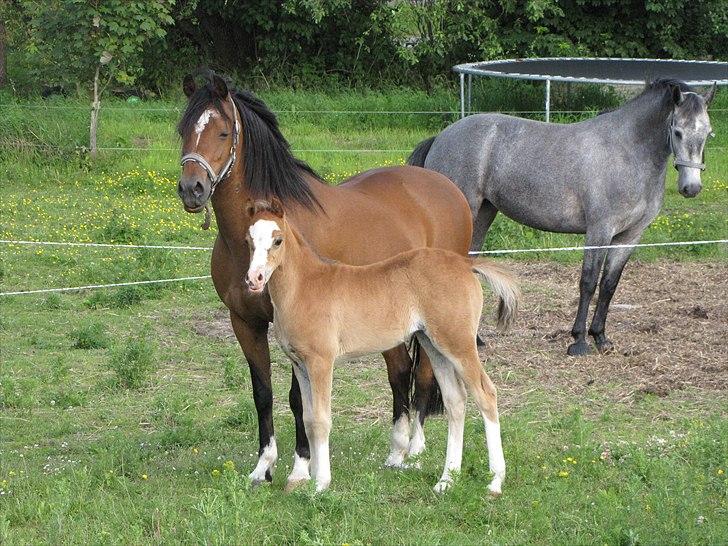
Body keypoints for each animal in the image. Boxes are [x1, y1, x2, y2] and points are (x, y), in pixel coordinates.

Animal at [176, 71, 473, 489]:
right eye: (183, 130)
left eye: (222, 132)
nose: (192, 189)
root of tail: (446, 186)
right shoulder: (245, 322)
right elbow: (263, 393)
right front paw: (263, 467)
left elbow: (298, 399)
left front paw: (302, 468)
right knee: (400, 371)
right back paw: (396, 451)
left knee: (424, 373)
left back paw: (414, 448)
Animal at [244, 198, 519, 494]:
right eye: (248, 240)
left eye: (278, 240)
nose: (254, 279)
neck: (304, 286)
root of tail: (466, 264)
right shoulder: (300, 364)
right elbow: (307, 419)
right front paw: (308, 477)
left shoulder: (321, 362)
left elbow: (320, 420)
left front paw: (321, 483)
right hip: (433, 344)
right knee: (456, 401)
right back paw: (446, 480)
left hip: (458, 343)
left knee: (486, 394)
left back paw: (495, 481)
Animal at [408, 78, 716, 356]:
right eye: (677, 131)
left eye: (708, 133)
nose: (691, 188)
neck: (627, 153)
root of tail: (441, 138)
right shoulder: (599, 231)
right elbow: (588, 283)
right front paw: (578, 342)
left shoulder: (629, 237)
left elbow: (609, 286)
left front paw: (601, 338)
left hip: (483, 214)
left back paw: (476, 339)